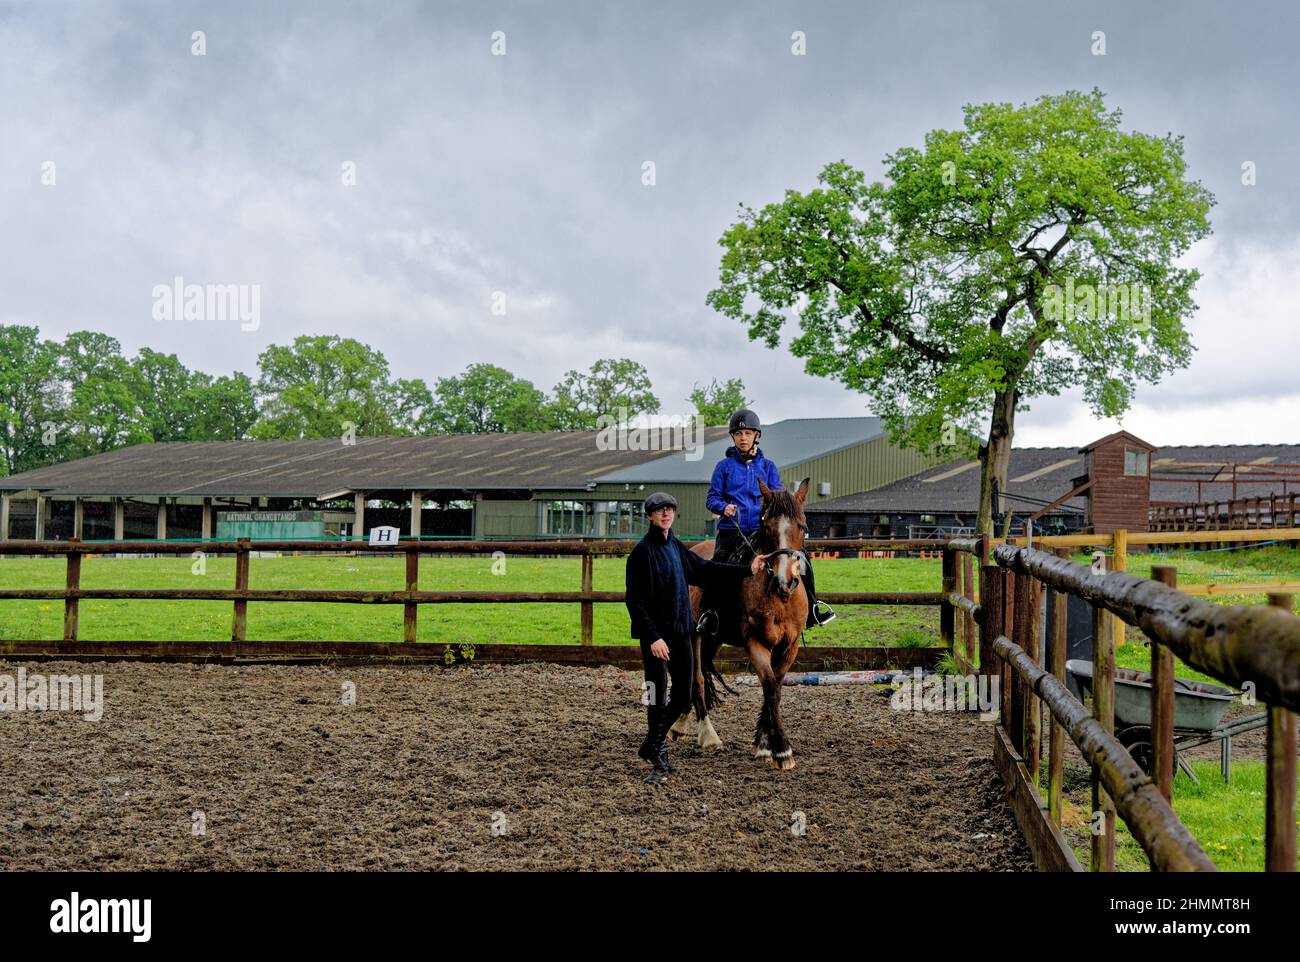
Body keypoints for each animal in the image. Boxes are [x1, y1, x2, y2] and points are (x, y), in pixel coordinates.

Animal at [670, 478, 811, 769]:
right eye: (767, 527)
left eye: (802, 527)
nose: (785, 581)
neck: (778, 597)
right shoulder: (756, 644)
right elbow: (769, 687)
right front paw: (781, 750)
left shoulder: (789, 647)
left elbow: (775, 688)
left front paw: (763, 743)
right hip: (695, 635)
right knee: (697, 679)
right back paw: (707, 735)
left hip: (713, 639)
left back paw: (680, 724)